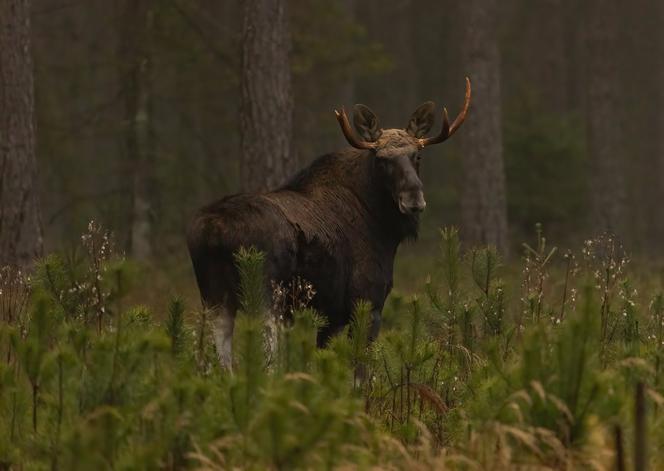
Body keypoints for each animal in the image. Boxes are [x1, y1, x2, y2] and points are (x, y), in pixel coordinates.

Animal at [184, 80, 470, 368]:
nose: (413, 198)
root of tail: (214, 229)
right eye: (381, 159)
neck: (382, 228)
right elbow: (359, 368)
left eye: (417, 155)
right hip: (266, 295)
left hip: (214, 296)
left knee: (215, 359)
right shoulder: (367, 302)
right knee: (268, 359)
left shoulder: (329, 316)